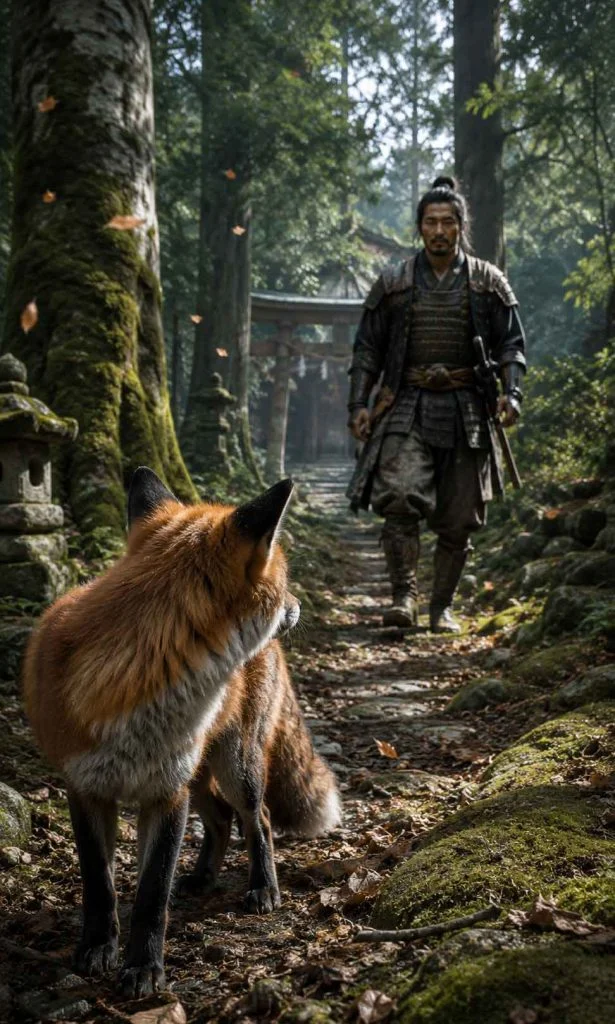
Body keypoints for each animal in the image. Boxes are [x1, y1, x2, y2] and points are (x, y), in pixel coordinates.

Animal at [23, 468, 341, 998]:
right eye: (284, 581)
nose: (298, 606)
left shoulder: (167, 793)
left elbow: (152, 894)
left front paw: (144, 967)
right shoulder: (86, 787)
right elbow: (99, 884)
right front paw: (98, 947)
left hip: (235, 767)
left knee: (259, 820)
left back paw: (263, 887)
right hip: (201, 772)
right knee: (222, 821)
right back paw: (202, 877)